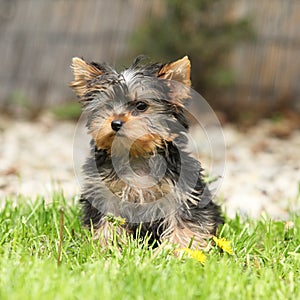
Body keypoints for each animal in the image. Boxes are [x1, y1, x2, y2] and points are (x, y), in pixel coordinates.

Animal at [70, 55, 223, 248]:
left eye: (141, 106)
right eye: (108, 105)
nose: (115, 123)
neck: (136, 155)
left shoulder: (181, 190)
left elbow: (184, 221)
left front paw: (178, 249)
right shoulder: (104, 191)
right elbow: (106, 219)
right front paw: (107, 246)